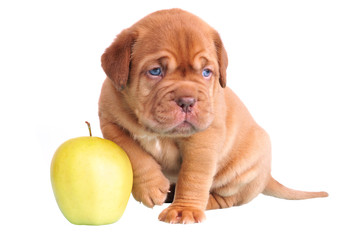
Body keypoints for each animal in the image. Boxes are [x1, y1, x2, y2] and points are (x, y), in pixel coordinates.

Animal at [98, 8, 330, 224]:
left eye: (206, 72)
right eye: (155, 71)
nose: (187, 101)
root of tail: (266, 177)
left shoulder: (203, 140)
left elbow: (193, 176)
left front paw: (184, 210)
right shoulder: (110, 123)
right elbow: (132, 153)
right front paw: (152, 186)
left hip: (239, 172)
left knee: (227, 198)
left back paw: (202, 201)